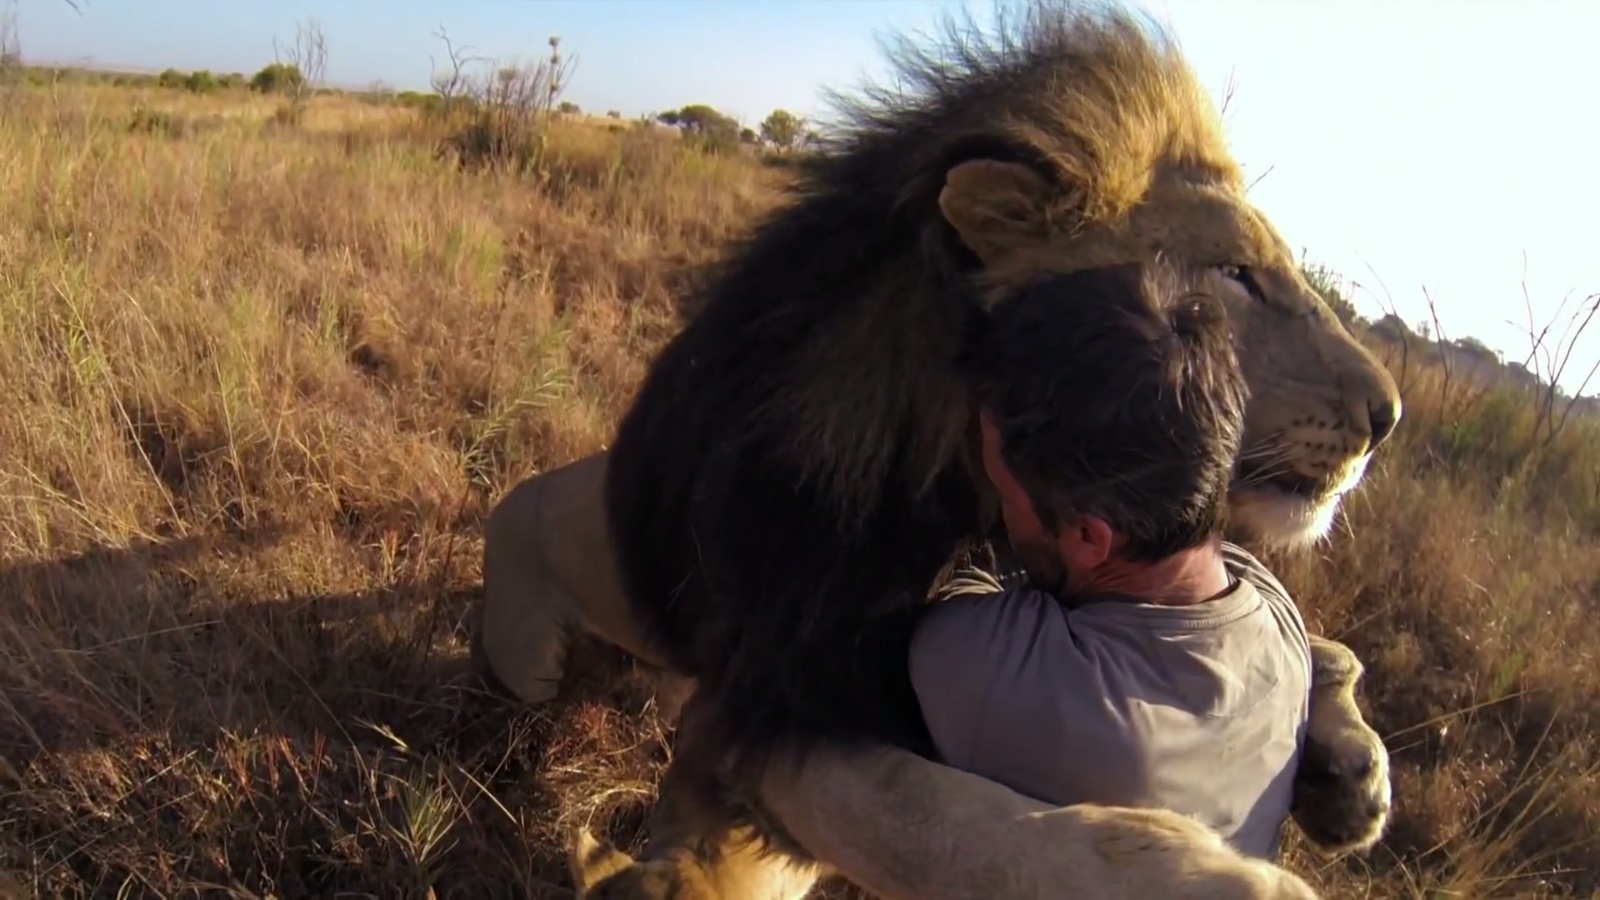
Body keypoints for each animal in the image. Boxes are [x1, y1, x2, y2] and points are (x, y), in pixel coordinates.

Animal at [473, 3, 1401, 890]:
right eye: (1237, 276)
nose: (1387, 417)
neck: (951, 473)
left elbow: (1328, 646)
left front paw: (1353, 769)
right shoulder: (772, 692)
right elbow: (944, 820)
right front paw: (1210, 878)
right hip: (530, 659)